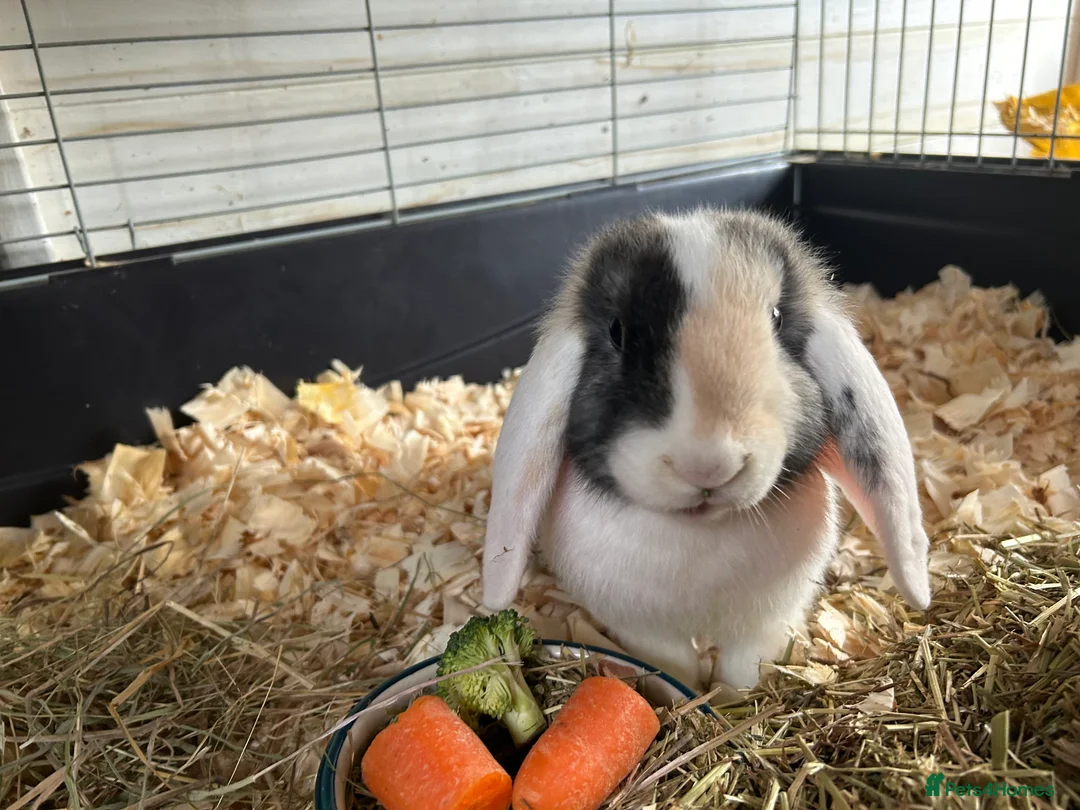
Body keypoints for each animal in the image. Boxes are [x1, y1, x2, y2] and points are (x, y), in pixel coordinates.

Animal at [480, 207, 931, 693]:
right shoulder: (645, 631)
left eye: (776, 318)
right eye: (618, 332)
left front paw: (736, 697)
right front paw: (686, 693)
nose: (709, 466)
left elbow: (744, 668)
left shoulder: (763, 625)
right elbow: (672, 668)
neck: (702, 533)